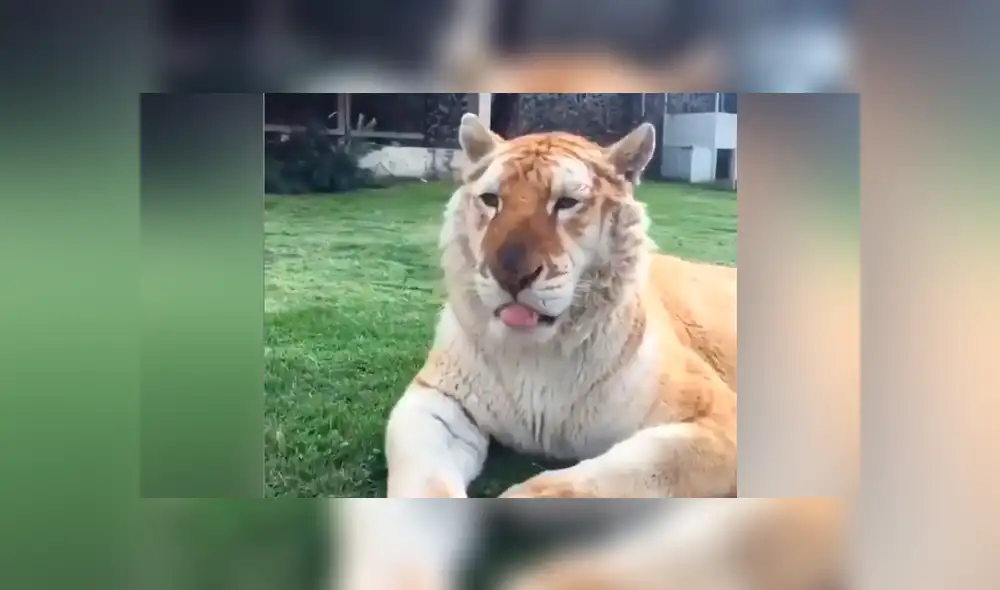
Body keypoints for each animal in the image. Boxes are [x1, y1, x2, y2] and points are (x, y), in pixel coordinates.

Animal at [384, 112, 737, 499]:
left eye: (566, 202)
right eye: (491, 200)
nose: (510, 275)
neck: (539, 354)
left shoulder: (715, 416)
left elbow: (608, 477)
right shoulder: (439, 401)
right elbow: (423, 480)